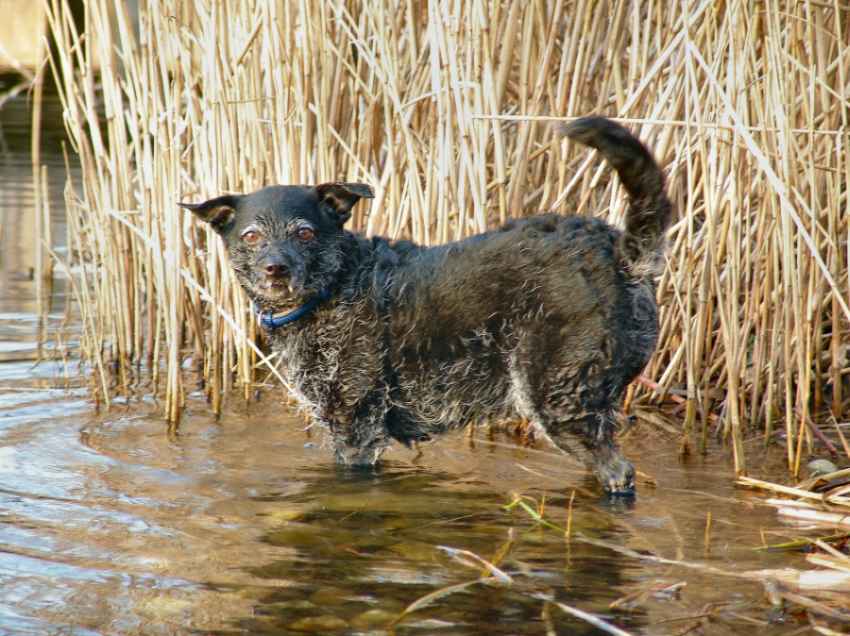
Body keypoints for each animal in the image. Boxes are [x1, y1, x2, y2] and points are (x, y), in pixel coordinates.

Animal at [179, 115, 668, 492]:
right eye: (251, 235)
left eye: (304, 232)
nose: (275, 268)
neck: (332, 289)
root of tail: (621, 251)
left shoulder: (357, 427)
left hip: (560, 399)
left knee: (619, 473)